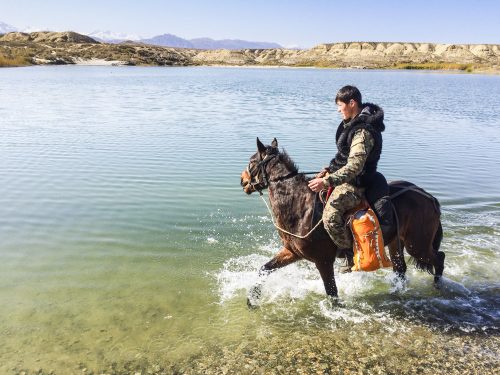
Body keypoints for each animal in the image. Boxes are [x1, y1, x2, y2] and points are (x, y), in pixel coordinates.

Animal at [240, 138, 444, 306]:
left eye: (252, 161)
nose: (242, 181)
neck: (301, 205)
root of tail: (428, 197)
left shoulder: (323, 261)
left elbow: (332, 293)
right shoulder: (292, 252)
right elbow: (265, 268)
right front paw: (252, 299)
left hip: (417, 245)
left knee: (439, 258)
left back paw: (438, 287)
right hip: (396, 242)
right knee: (401, 268)